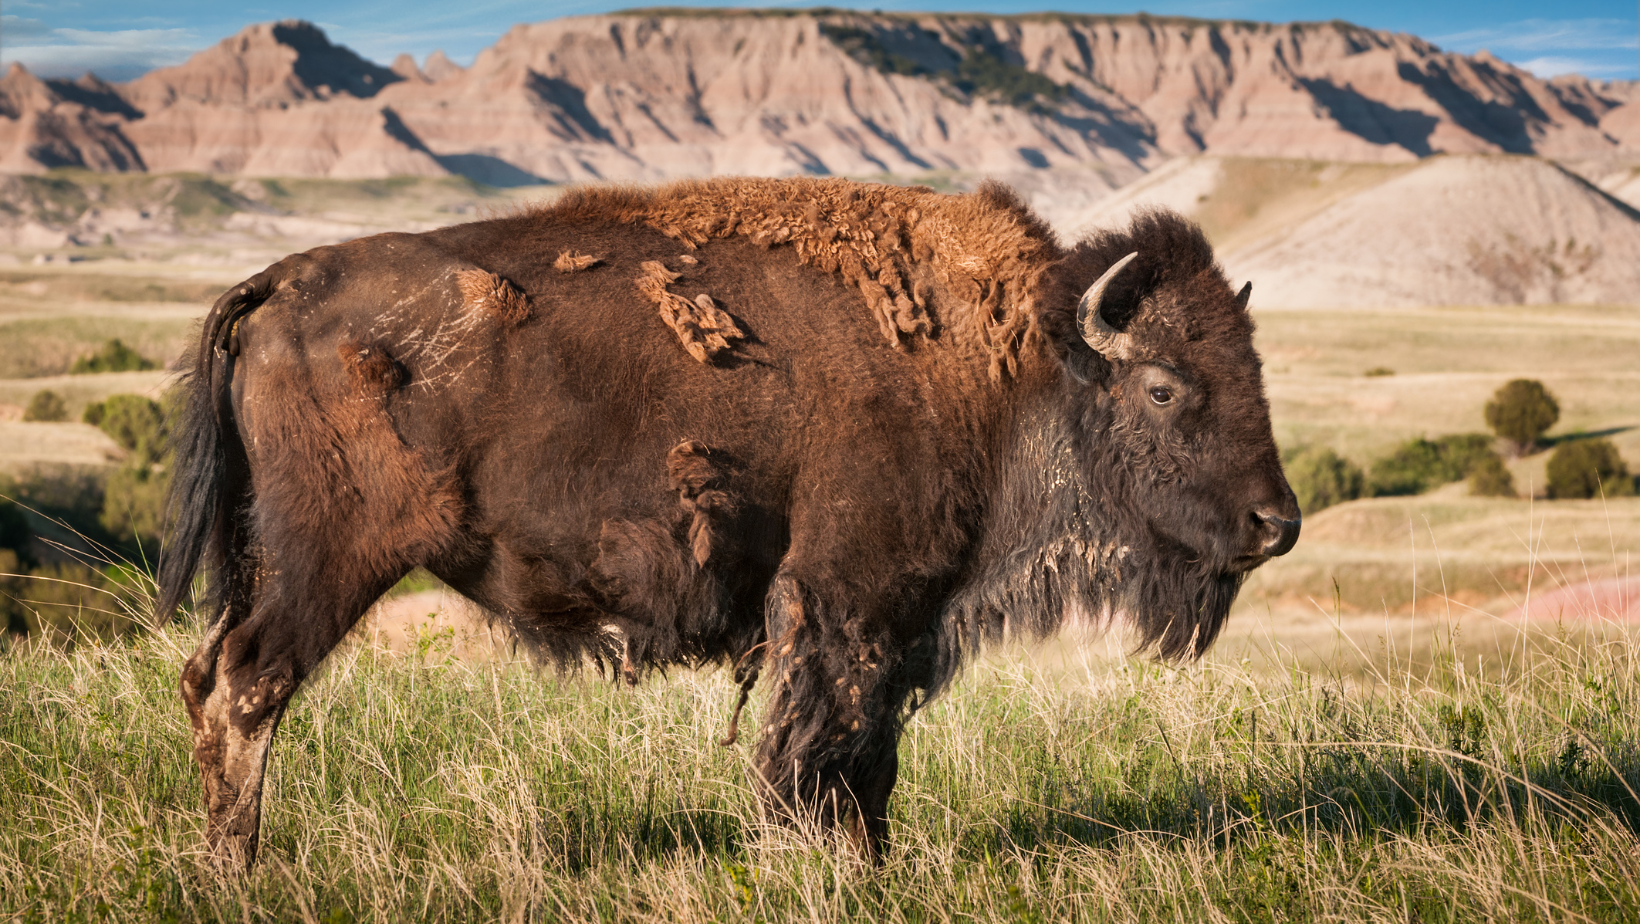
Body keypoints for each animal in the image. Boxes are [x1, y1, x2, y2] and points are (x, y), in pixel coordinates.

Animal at [157, 177, 1299, 865]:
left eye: (1252, 363)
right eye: (1162, 386)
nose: (1275, 522)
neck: (1014, 371)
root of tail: (278, 281)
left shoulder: (897, 620)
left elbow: (869, 755)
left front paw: (868, 865)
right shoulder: (847, 599)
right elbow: (820, 747)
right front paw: (824, 865)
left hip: (273, 555)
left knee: (210, 676)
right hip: (329, 557)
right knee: (246, 685)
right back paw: (236, 873)